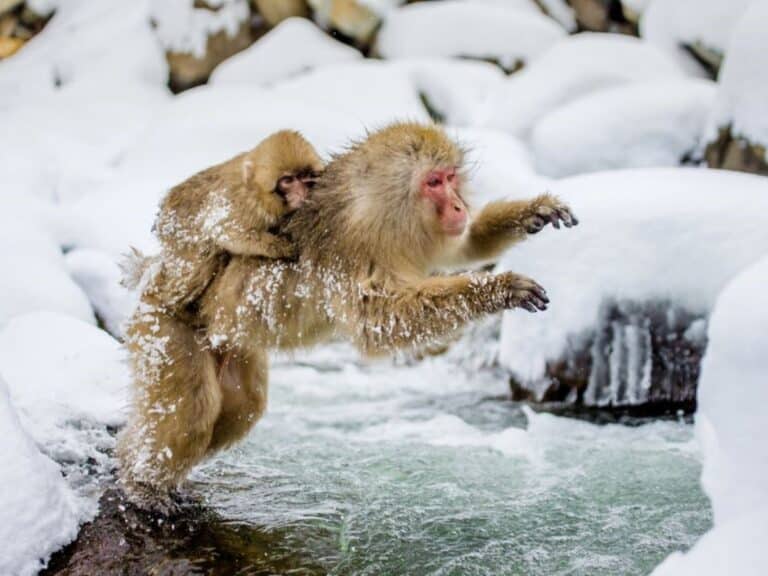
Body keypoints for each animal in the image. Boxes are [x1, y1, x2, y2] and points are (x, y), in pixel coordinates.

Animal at [142, 129, 324, 313]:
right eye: (287, 181)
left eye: (305, 176)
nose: (302, 192)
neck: (256, 189)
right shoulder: (242, 202)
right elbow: (223, 229)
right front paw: (280, 246)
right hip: (177, 232)